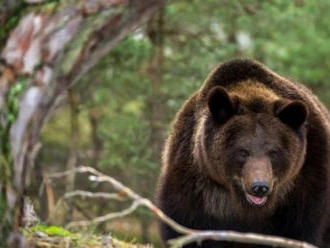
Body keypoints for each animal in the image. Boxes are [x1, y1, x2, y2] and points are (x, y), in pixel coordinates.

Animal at [156, 59, 330, 247]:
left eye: (273, 152)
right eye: (242, 151)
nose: (259, 187)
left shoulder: (306, 182)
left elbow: (300, 230)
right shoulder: (195, 185)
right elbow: (186, 227)